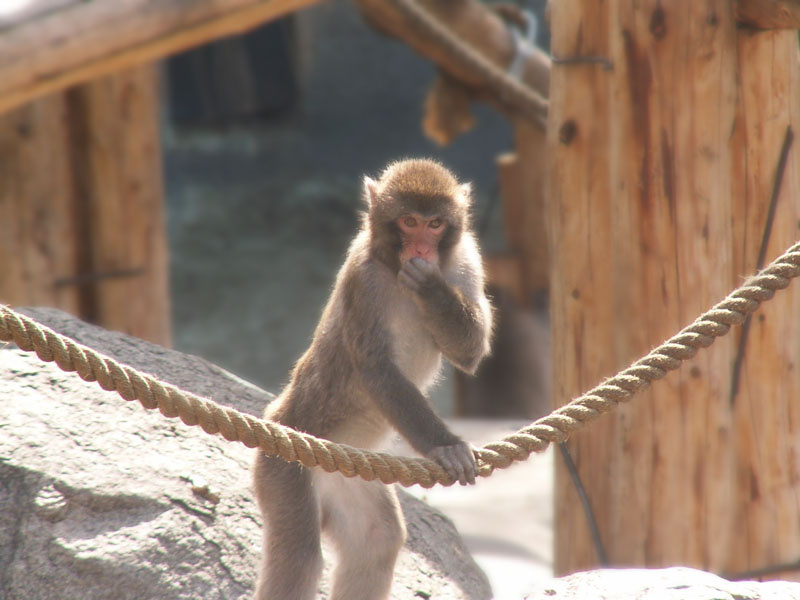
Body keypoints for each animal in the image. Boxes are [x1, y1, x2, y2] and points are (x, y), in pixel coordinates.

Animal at [252, 158, 493, 600]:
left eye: (435, 224)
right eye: (409, 221)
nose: (421, 250)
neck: (392, 266)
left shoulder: (467, 259)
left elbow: (471, 351)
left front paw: (431, 286)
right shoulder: (363, 277)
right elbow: (376, 369)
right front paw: (447, 446)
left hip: (351, 484)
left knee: (377, 541)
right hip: (282, 466)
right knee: (299, 552)